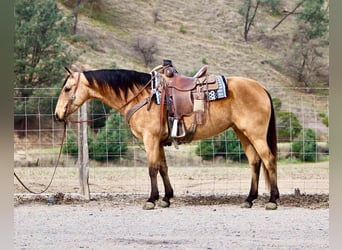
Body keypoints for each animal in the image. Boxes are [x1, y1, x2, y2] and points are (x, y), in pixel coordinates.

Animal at [53, 62, 280, 209]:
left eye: (67, 88)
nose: (57, 115)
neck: (144, 96)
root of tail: (261, 87)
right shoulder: (159, 141)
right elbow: (163, 168)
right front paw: (166, 198)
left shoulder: (150, 139)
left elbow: (152, 169)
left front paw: (151, 200)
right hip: (242, 133)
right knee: (255, 162)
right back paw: (249, 199)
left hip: (255, 133)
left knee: (268, 159)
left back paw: (272, 200)